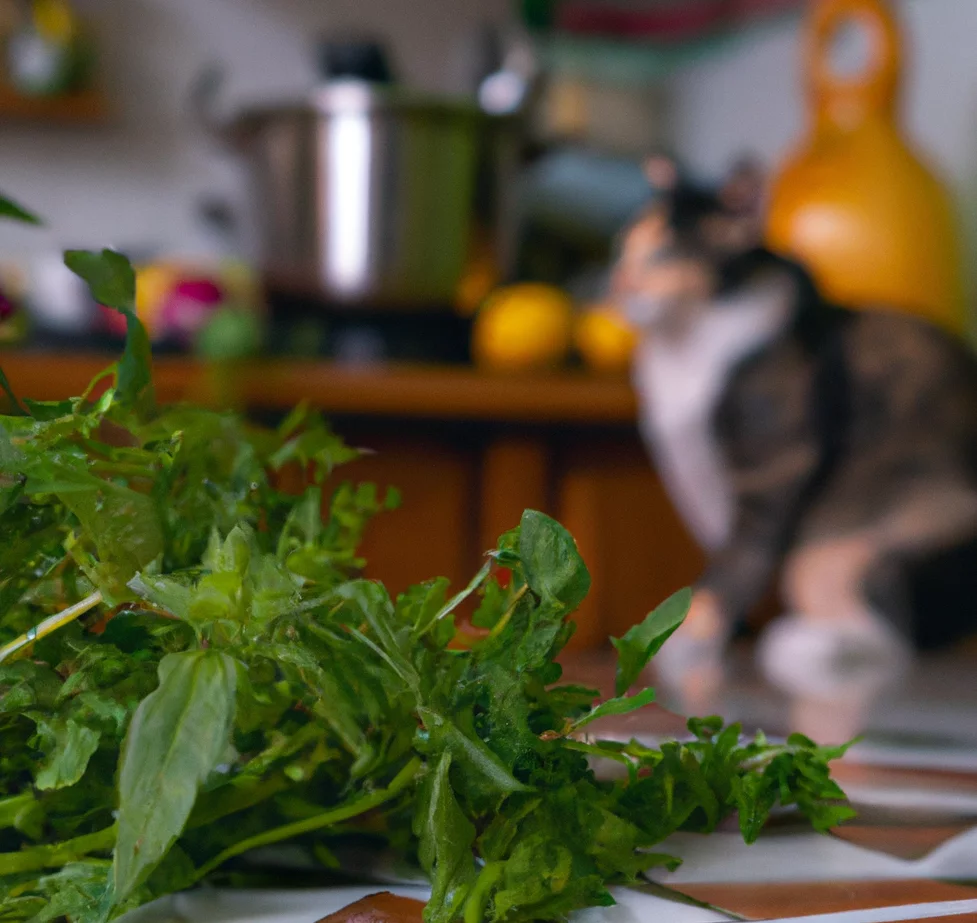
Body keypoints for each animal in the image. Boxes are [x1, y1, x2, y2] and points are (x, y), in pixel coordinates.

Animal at [612, 157, 976, 736]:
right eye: (623, 247)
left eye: (664, 253)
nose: (618, 283)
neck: (686, 340)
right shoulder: (700, 486)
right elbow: (727, 560)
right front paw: (705, 638)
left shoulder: (775, 467)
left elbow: (738, 560)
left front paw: (687, 641)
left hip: (840, 539)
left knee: (886, 631)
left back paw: (798, 647)